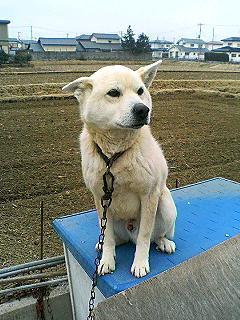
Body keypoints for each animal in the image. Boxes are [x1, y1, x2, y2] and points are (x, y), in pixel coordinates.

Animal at [62, 60, 177, 278]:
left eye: (140, 91)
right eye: (114, 93)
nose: (143, 110)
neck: (114, 155)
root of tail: (129, 230)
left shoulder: (149, 195)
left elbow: (144, 238)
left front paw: (140, 263)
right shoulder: (100, 198)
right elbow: (107, 238)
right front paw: (106, 261)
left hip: (166, 206)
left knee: (154, 236)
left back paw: (164, 242)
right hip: (108, 219)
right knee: (115, 238)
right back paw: (103, 245)